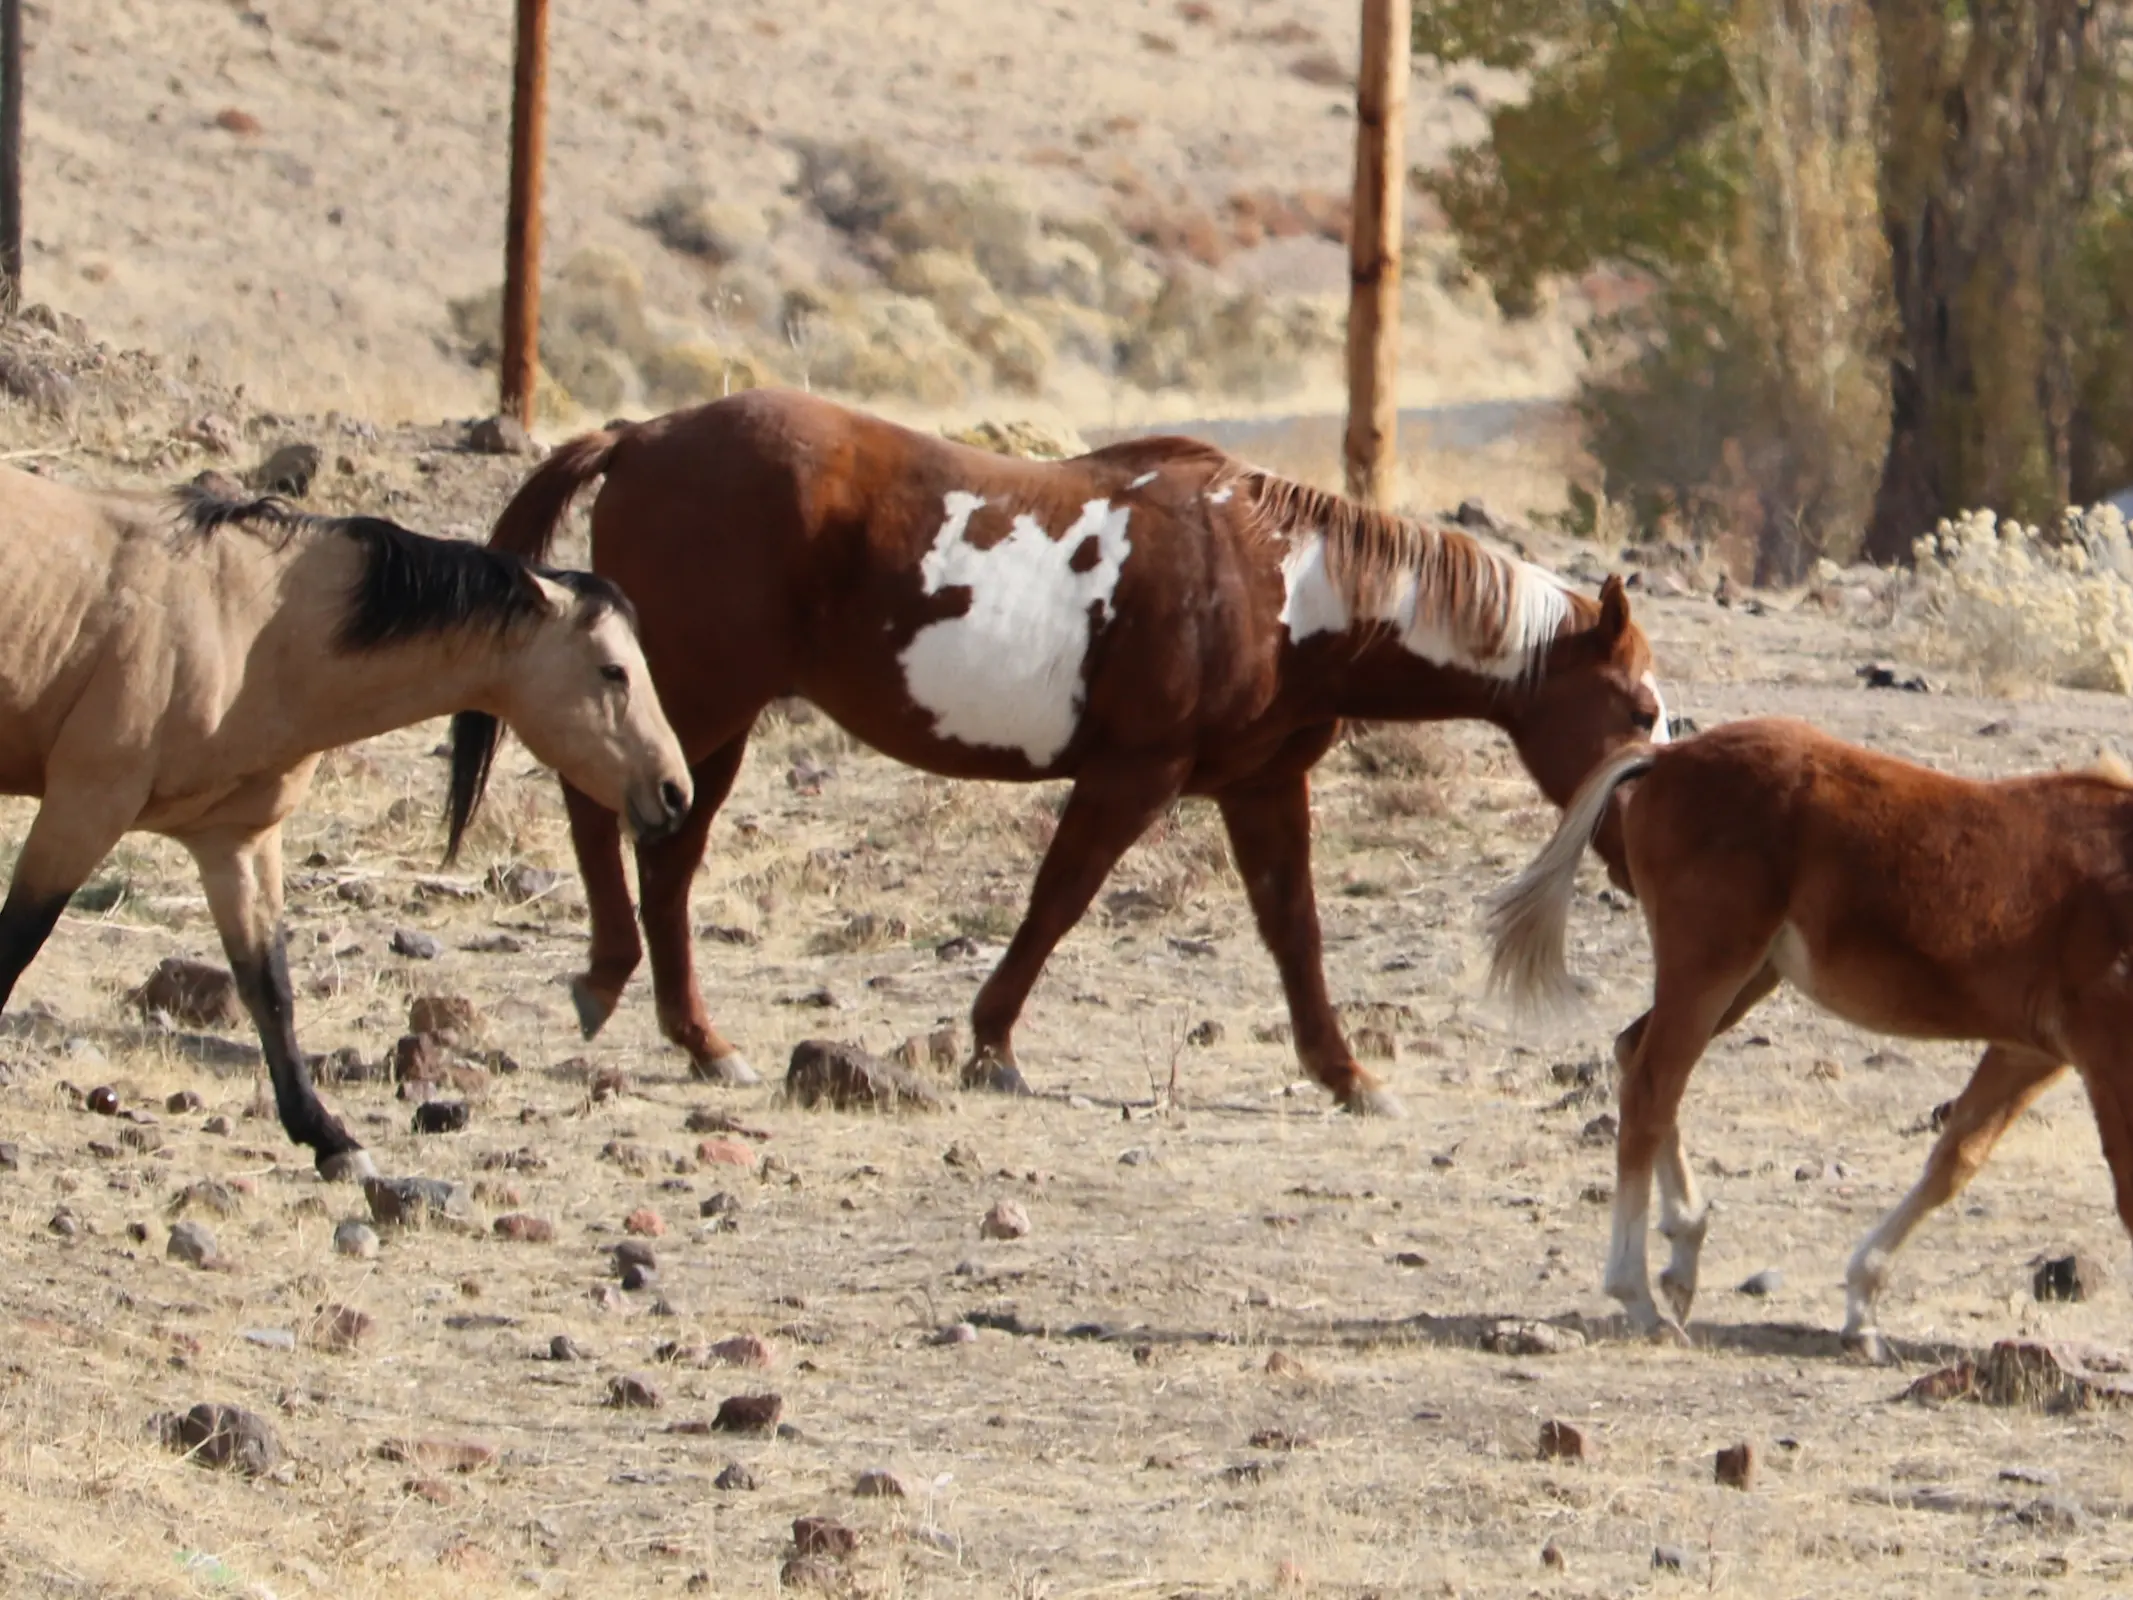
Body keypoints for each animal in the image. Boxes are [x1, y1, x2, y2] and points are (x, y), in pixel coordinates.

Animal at [0, 462, 691, 1177]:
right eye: (613, 670)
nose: (674, 792)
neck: (249, 624)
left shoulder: (235, 842)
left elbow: (269, 987)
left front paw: (327, 1136)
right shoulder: (85, 806)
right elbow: (13, 949)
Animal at [488, 390, 1663, 1117]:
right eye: (1640, 707)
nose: (1631, 844)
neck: (1280, 582)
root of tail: (642, 438)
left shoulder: (1261, 785)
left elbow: (1294, 930)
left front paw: (1345, 1073)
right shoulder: (1134, 775)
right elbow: (1058, 900)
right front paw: (992, 1046)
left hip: (711, 721)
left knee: (664, 853)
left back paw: (694, 1035)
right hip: (697, 703)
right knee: (612, 818)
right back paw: (620, 985)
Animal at [1493, 721, 2133, 1356]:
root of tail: (1668, 756)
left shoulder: (2030, 1052)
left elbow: (1954, 1161)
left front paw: (1862, 1314)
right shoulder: (2103, 1053)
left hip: (1748, 978)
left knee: (1636, 1056)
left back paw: (1682, 1259)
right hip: (1709, 965)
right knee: (1652, 1088)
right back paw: (1641, 1299)